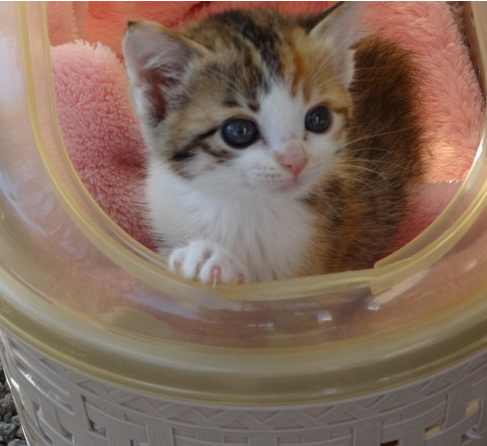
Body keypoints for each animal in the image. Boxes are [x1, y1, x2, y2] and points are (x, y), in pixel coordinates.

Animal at [122, 2, 425, 284]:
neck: (240, 206)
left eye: (318, 118)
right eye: (239, 130)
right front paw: (203, 256)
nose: (295, 161)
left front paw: (212, 258)